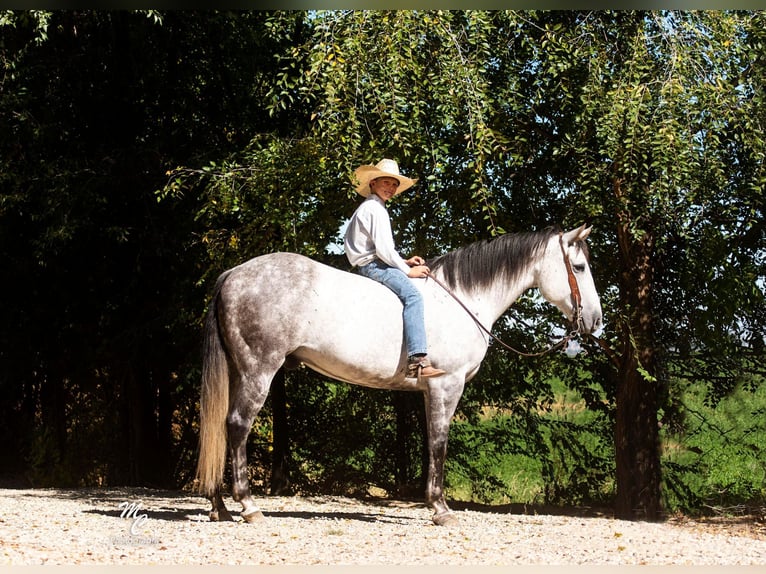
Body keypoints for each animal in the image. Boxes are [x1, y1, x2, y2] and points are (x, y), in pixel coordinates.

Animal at [195, 224, 604, 528]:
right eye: (580, 267)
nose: (595, 321)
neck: (462, 299)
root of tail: (233, 274)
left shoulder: (429, 391)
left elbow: (430, 443)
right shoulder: (446, 386)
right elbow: (439, 442)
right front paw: (440, 509)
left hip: (239, 372)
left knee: (220, 426)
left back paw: (220, 507)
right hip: (258, 370)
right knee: (237, 425)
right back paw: (248, 506)